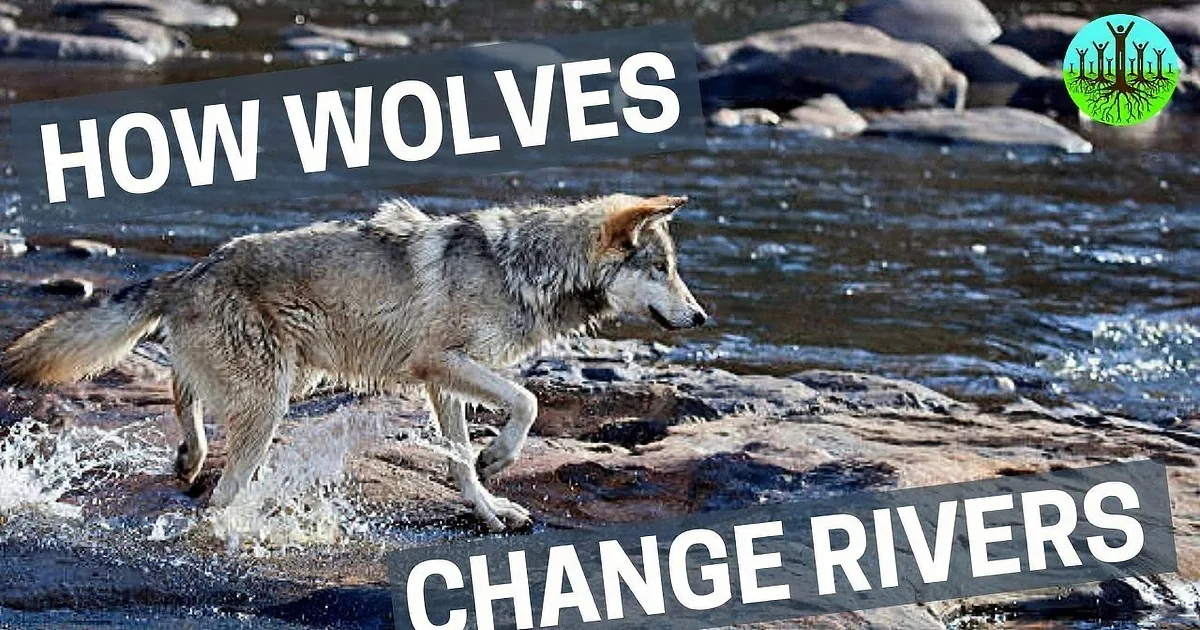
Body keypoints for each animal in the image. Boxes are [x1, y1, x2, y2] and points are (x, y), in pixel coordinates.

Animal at [2, 193, 707, 530]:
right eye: (662, 268)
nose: (701, 317)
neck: (525, 270)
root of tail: (189, 272)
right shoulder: (441, 362)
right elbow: (528, 403)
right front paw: (499, 459)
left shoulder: (442, 384)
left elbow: (461, 465)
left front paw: (488, 508)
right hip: (272, 398)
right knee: (222, 490)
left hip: (289, 379)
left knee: (184, 390)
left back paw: (189, 458)